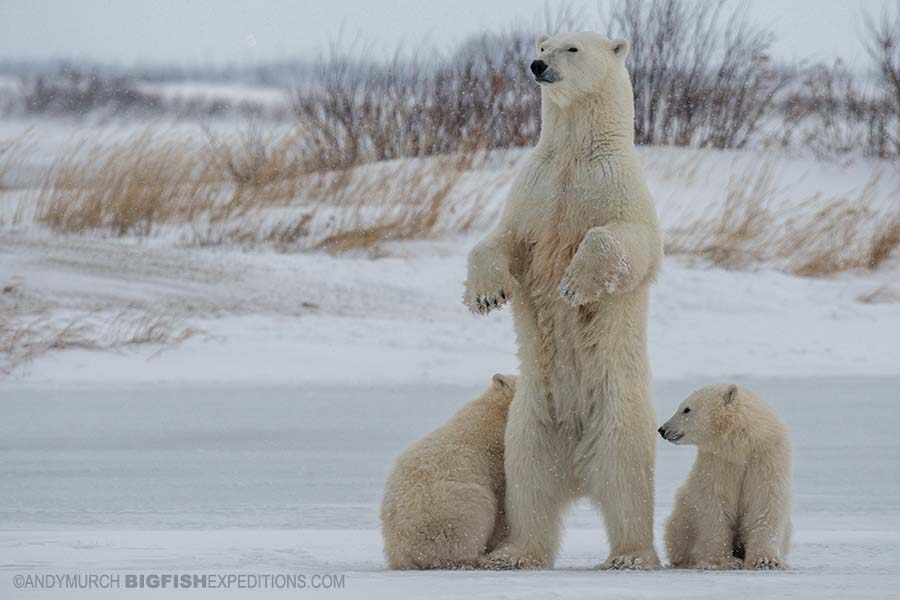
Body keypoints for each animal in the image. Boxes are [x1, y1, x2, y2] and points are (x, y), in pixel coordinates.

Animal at [464, 32, 663, 570]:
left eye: (572, 48)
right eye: (542, 44)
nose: (536, 66)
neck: (575, 152)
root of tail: (577, 468)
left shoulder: (617, 186)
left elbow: (626, 241)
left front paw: (574, 284)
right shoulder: (535, 188)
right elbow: (503, 240)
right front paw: (485, 294)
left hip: (618, 413)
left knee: (626, 480)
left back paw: (631, 555)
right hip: (529, 420)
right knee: (529, 485)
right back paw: (513, 553)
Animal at [658, 384, 792, 570]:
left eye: (686, 409)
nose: (662, 429)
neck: (741, 445)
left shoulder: (765, 457)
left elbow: (765, 500)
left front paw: (766, 561)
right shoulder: (718, 462)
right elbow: (715, 504)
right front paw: (724, 561)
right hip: (683, 515)